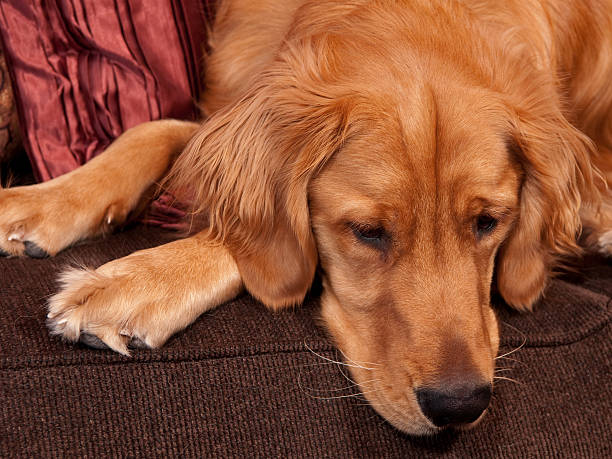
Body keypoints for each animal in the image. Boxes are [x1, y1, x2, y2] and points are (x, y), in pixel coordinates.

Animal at [1, 0, 612, 434]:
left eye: (488, 222)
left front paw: (130, 285)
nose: (459, 404)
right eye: (368, 233)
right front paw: (35, 202)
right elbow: (155, 129)